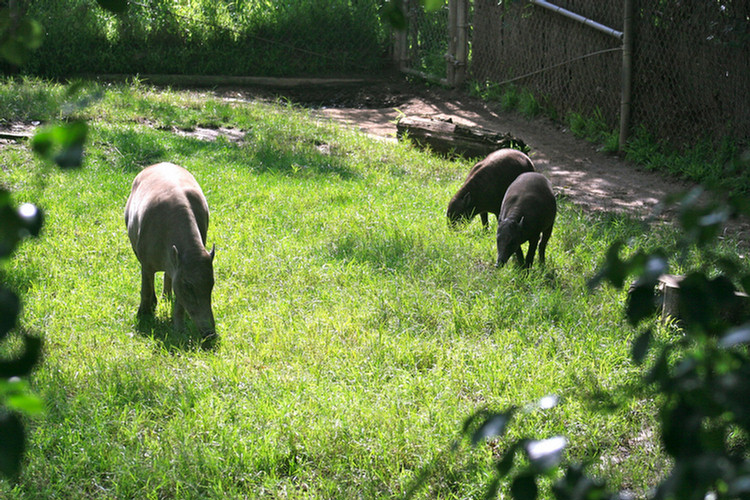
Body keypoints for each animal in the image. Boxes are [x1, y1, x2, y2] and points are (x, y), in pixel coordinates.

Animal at [125, 162, 216, 338]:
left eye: (212, 283)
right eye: (189, 285)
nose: (210, 333)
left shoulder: (179, 270)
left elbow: (179, 299)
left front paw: (179, 329)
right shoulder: (147, 263)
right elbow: (146, 287)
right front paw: (144, 314)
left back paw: (166, 296)